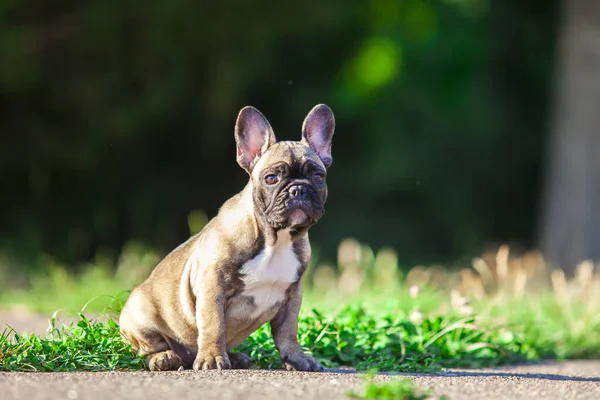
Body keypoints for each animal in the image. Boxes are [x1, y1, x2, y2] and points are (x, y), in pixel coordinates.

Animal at [119, 104, 336, 372]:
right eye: (271, 178)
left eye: (318, 177)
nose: (298, 189)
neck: (275, 241)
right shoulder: (212, 289)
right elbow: (215, 326)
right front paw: (213, 358)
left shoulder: (292, 295)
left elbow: (288, 332)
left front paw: (298, 359)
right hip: (140, 316)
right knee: (148, 347)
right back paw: (165, 357)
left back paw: (236, 357)